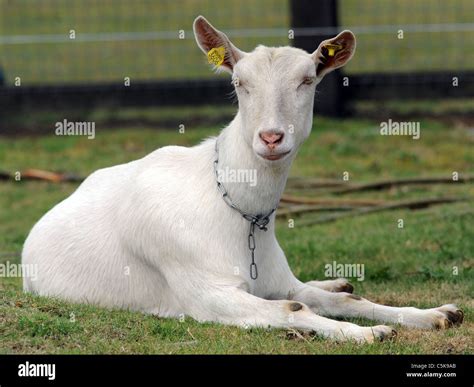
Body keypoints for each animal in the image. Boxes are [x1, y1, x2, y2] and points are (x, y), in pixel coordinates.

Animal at [22, 15, 462, 342]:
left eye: (308, 80)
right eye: (239, 83)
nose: (271, 137)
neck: (238, 212)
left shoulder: (275, 277)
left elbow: (340, 303)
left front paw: (436, 313)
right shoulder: (206, 295)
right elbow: (291, 308)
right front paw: (367, 333)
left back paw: (338, 283)